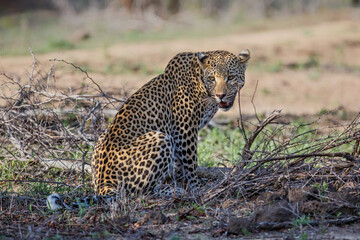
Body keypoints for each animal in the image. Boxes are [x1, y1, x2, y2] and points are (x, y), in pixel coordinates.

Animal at [90, 48, 250, 197]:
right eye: (211, 78)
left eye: (231, 77)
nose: (220, 95)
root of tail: (103, 184)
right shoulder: (184, 129)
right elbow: (191, 162)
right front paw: (197, 187)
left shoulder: (180, 135)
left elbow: (180, 164)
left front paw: (181, 182)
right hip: (161, 138)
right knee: (142, 192)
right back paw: (171, 191)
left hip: (103, 136)